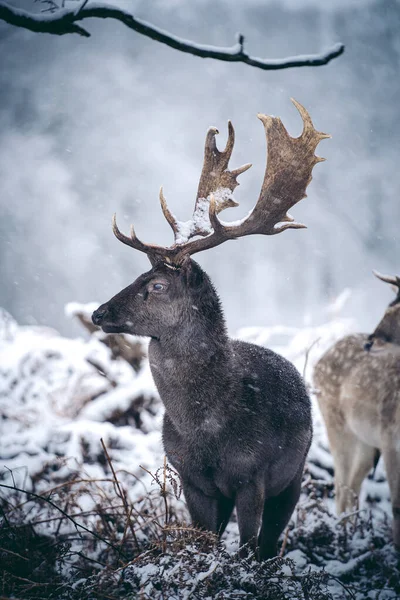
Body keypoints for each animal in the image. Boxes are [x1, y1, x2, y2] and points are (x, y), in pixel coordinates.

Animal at [92, 99, 330, 556]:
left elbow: (249, 545)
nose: (98, 313)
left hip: (296, 472)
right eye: (138, 275)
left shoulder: (253, 476)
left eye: (157, 286)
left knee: (272, 540)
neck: (206, 429)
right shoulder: (191, 479)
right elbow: (204, 540)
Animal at [314, 272, 400, 548]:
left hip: (367, 444)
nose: (370, 342)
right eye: (388, 306)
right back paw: (341, 538)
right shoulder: (390, 439)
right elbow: (396, 505)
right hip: (337, 426)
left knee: (353, 487)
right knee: (341, 487)